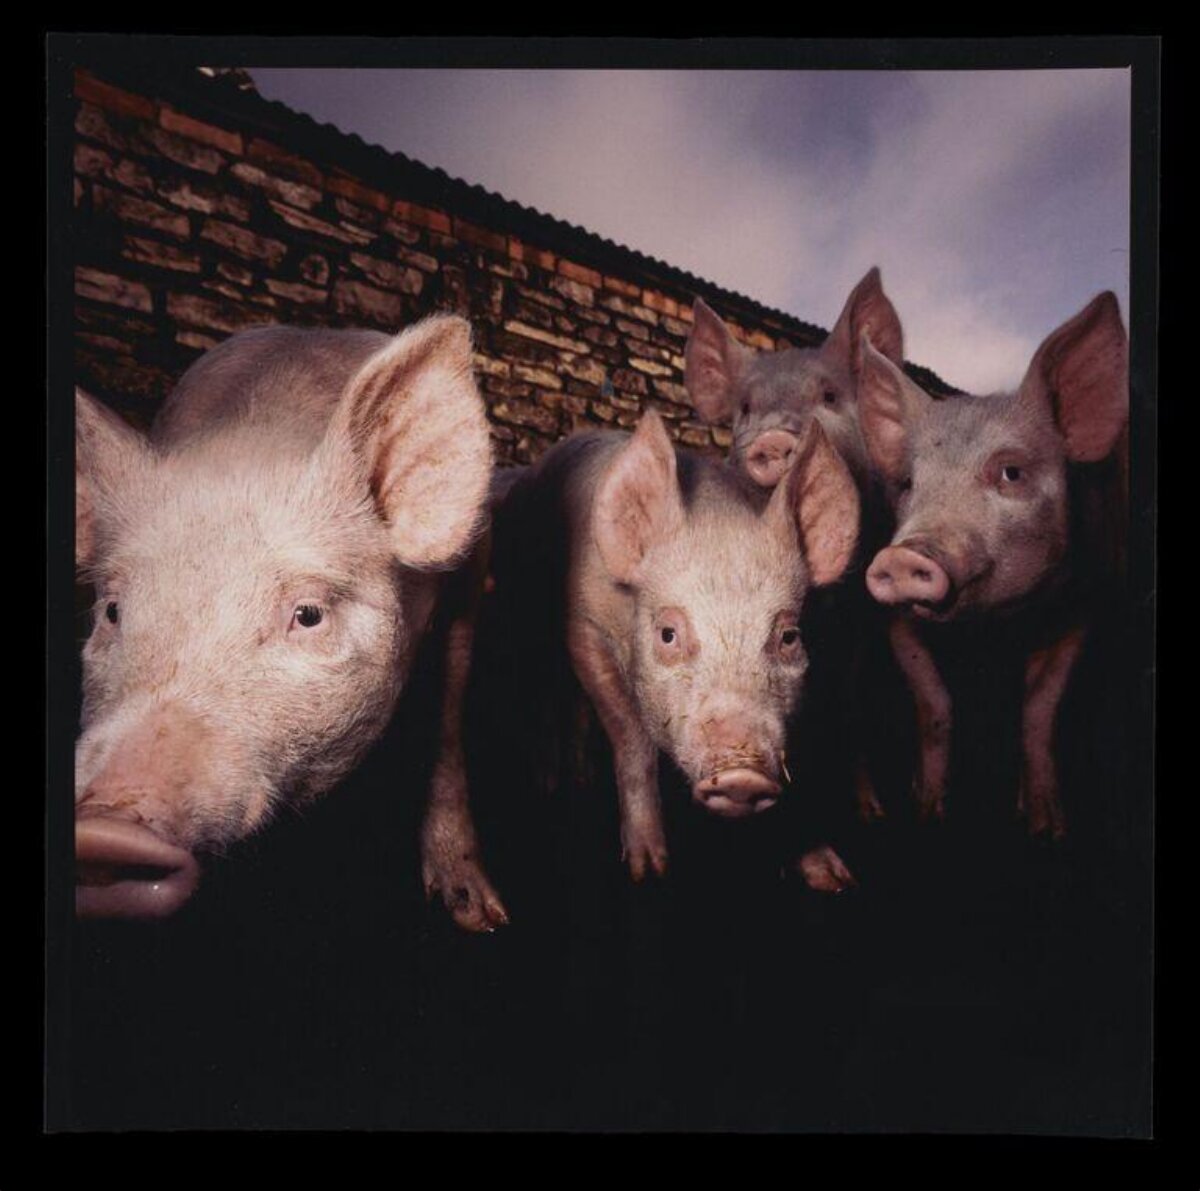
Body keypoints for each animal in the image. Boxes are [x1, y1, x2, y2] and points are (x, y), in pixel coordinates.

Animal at [74, 314, 508, 930]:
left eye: (308, 615)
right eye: (113, 610)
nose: (103, 829)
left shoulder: (470, 573)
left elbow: (448, 717)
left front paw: (480, 917)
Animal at [491, 408, 860, 880]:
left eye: (789, 637)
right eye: (668, 634)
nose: (742, 776)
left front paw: (833, 877)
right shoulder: (584, 626)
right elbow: (631, 736)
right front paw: (650, 869)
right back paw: (549, 780)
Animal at [857, 291, 1129, 837]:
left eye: (1011, 472)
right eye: (909, 484)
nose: (901, 555)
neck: (994, 629)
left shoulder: (1083, 607)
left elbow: (1040, 711)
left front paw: (1046, 827)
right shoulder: (894, 621)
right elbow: (935, 704)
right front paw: (928, 813)